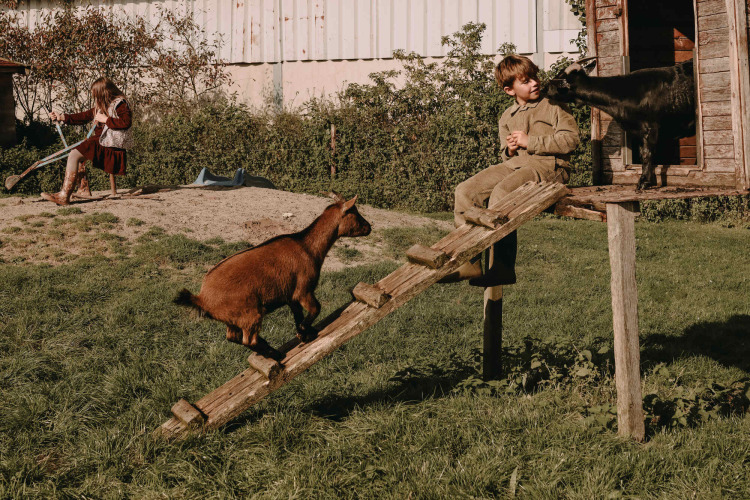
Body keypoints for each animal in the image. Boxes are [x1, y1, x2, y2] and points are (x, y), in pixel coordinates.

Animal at [174, 193, 372, 360]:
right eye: (355, 213)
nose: (369, 227)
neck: (307, 246)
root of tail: (202, 297)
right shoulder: (304, 290)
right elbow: (316, 308)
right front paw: (304, 331)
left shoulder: (291, 296)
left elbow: (298, 315)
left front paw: (304, 334)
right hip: (250, 313)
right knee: (248, 340)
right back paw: (276, 355)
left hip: (233, 319)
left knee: (233, 337)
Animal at [546, 57, 695, 190]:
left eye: (559, 78)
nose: (545, 89)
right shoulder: (638, 131)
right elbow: (642, 153)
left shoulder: (651, 127)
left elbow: (647, 154)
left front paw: (644, 183)